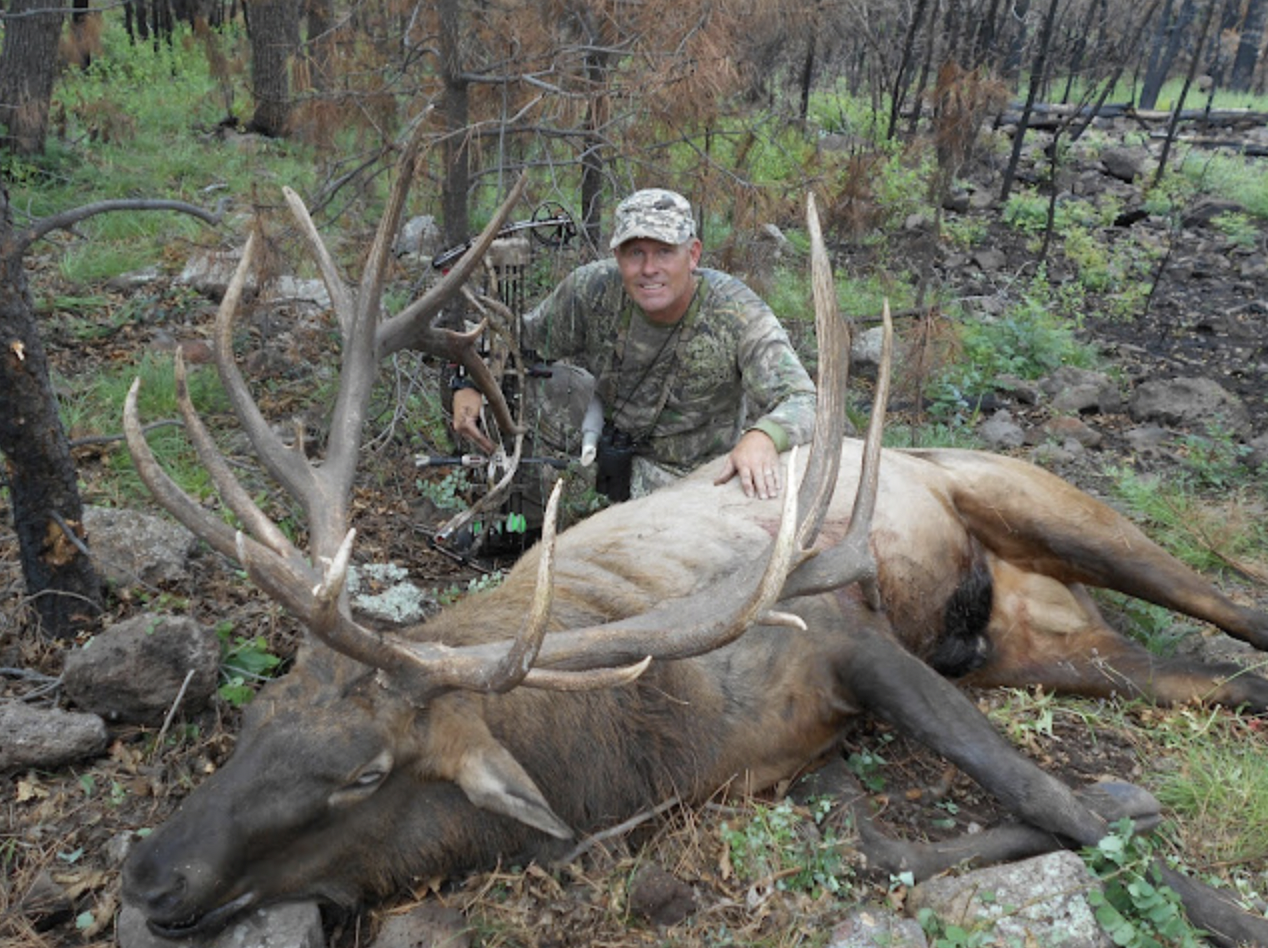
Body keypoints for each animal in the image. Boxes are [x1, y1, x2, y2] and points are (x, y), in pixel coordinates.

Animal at [121, 153, 1268, 942]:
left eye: (362, 775)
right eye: (259, 714)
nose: (148, 875)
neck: (635, 752)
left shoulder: (847, 637)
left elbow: (1036, 789)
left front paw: (1211, 902)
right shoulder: (790, 757)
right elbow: (886, 844)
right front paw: (1129, 798)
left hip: (1047, 506)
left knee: (1233, 611)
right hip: (1044, 646)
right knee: (1216, 680)